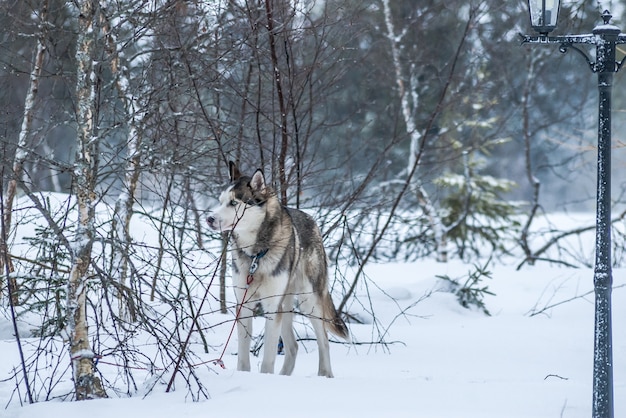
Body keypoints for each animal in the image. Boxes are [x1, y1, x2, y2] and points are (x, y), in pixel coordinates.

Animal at [207, 162, 348, 378]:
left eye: (233, 203)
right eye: (220, 201)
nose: (209, 218)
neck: (256, 254)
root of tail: (311, 220)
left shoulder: (272, 306)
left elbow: (268, 358)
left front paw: (265, 378)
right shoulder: (244, 305)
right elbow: (243, 356)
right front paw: (244, 375)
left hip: (309, 302)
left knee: (323, 340)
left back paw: (325, 375)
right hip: (286, 305)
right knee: (293, 346)